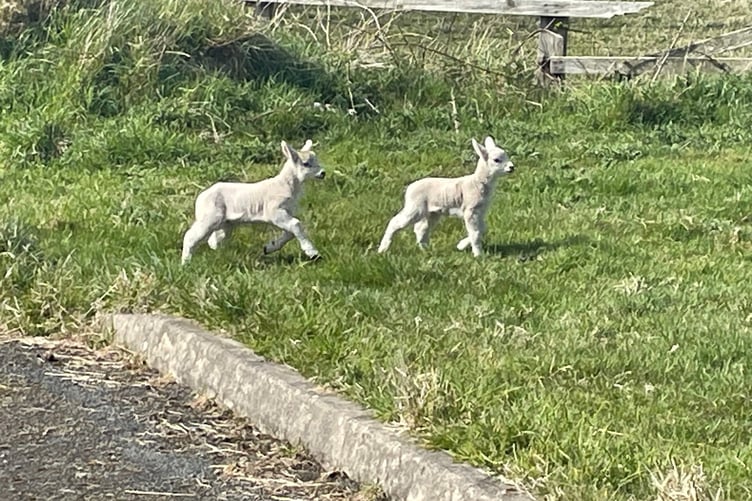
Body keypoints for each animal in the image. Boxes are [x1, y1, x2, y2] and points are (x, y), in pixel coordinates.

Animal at [181, 139, 325, 265]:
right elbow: (296, 224)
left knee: (215, 240)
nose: (323, 173)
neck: (286, 185)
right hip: (210, 216)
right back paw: (185, 263)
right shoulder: (274, 211)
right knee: (190, 236)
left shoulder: (286, 211)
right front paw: (313, 253)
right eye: (306, 163)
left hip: (226, 223)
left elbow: (290, 232)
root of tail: (200, 198)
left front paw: (269, 247)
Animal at [377, 136, 515, 257]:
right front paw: (478, 255)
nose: (512, 167)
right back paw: (382, 249)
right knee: (395, 222)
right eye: (497, 160)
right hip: (415, 207)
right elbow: (475, 233)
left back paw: (425, 250)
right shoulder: (470, 209)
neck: (477, 182)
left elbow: (482, 229)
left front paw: (461, 245)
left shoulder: (480, 210)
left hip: (432, 212)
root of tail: (409, 188)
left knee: (421, 228)